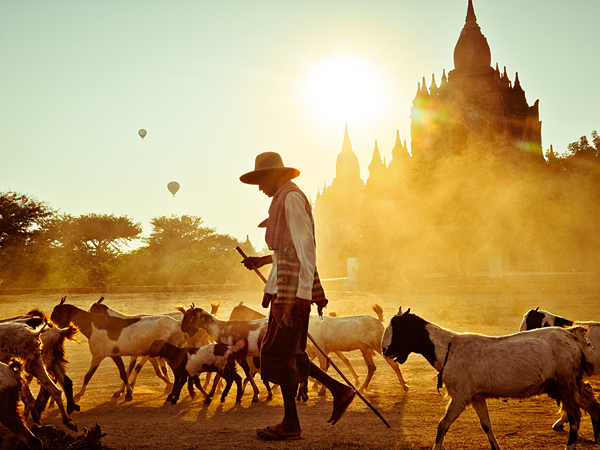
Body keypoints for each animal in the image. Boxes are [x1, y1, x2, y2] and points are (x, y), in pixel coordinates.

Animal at [382, 308, 600, 450]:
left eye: (400, 329)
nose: (385, 350)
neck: (448, 349)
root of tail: (574, 337)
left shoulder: (461, 395)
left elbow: (442, 425)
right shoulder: (476, 396)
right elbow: (487, 425)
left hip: (565, 382)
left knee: (575, 416)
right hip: (567, 383)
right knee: (591, 405)